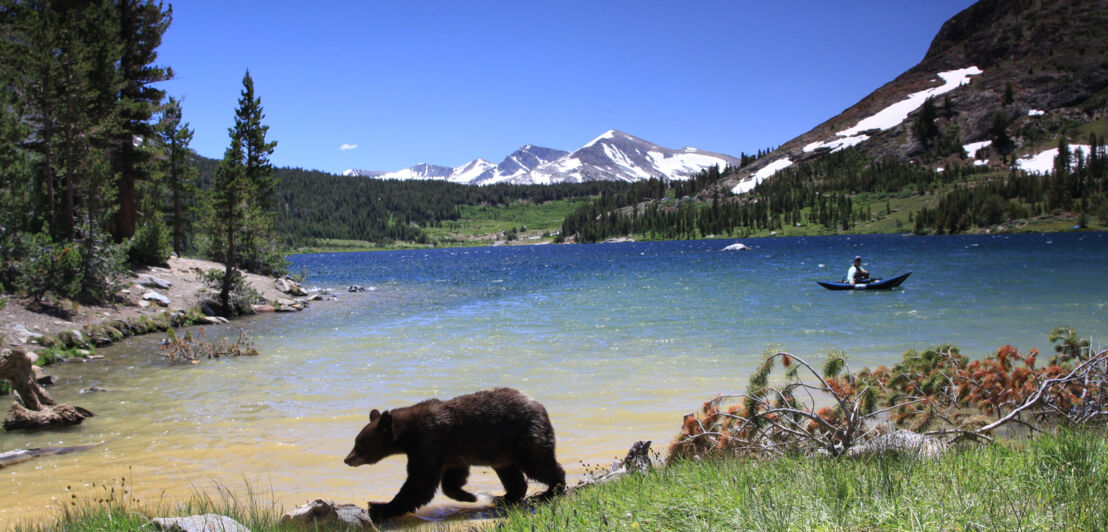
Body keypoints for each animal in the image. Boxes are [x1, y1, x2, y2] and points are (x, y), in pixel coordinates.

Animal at [345, 387, 567, 520]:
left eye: (359, 444)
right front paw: (470, 495)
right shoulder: (449, 452)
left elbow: (419, 482)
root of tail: (540, 405)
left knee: (538, 464)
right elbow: (451, 478)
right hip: (502, 451)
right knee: (511, 473)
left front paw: (380, 506)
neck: (409, 434)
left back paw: (550, 491)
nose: (347, 459)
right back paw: (506, 497)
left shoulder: (429, 443)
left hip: (524, 435)